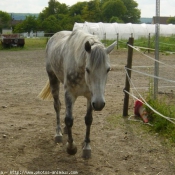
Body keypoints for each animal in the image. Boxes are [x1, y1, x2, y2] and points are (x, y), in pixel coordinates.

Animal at [38, 29, 116, 158]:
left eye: (108, 69)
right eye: (88, 69)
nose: (99, 104)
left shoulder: (91, 97)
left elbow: (88, 119)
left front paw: (87, 147)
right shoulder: (69, 93)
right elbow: (69, 119)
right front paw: (71, 148)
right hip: (53, 79)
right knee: (57, 106)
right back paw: (58, 133)